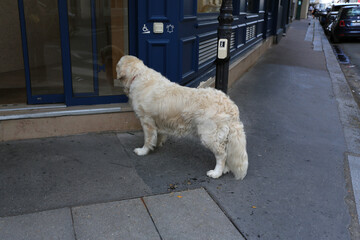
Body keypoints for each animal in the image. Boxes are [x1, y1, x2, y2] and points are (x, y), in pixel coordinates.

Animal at [116, 55, 249, 179]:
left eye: (117, 66)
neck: (138, 75)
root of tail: (230, 105)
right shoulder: (158, 120)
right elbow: (158, 135)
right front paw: (157, 144)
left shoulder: (147, 120)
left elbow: (148, 139)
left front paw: (143, 151)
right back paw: (225, 169)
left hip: (209, 135)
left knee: (222, 155)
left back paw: (216, 173)